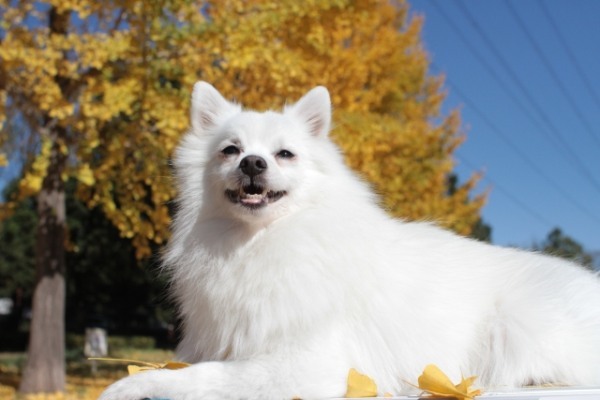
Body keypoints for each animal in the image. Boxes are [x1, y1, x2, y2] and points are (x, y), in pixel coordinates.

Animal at [101, 83, 600, 398]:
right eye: (230, 150)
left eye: (284, 154)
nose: (253, 163)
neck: (261, 241)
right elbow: (182, 363)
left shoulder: (311, 363)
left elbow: (203, 377)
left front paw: (129, 386)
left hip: (523, 328)